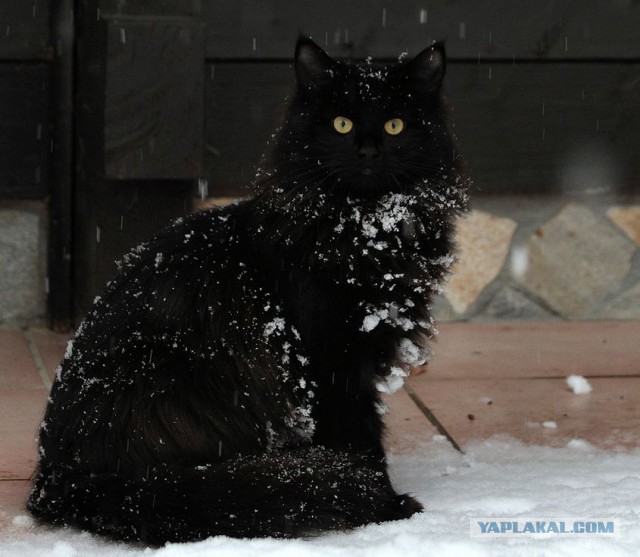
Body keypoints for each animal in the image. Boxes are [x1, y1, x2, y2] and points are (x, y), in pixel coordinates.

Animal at [27, 35, 468, 544]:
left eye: (395, 125)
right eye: (341, 124)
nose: (369, 151)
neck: (365, 231)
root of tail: (59, 474)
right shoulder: (332, 361)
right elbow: (359, 439)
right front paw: (385, 501)